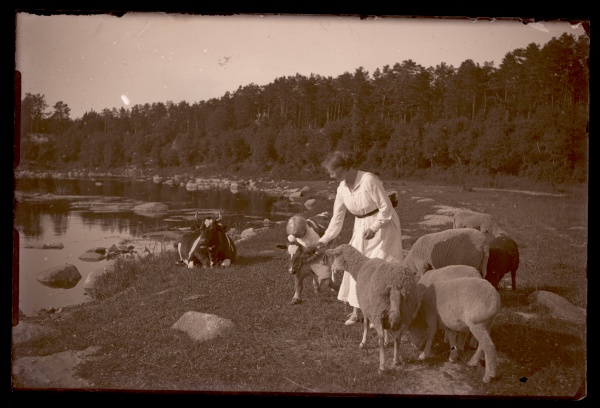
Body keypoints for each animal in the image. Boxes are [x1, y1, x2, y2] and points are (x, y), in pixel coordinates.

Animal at [324, 244, 418, 374]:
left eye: (336, 255)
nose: (332, 268)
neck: (360, 267)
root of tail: (396, 285)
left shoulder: (366, 306)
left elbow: (365, 324)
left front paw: (363, 343)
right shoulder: (380, 310)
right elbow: (385, 329)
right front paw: (387, 341)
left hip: (378, 310)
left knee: (380, 338)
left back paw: (382, 366)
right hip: (404, 311)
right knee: (398, 337)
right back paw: (395, 360)